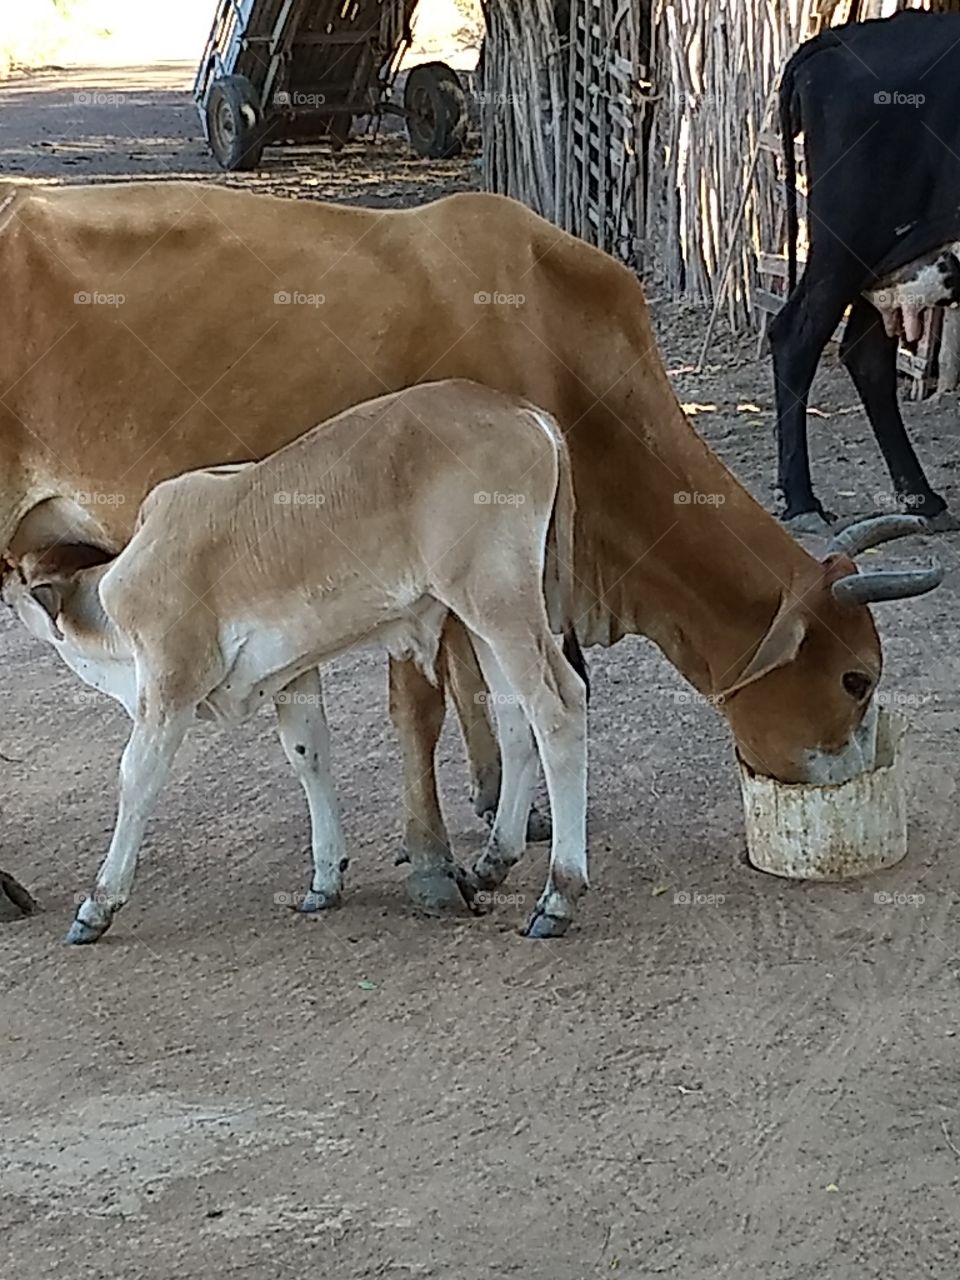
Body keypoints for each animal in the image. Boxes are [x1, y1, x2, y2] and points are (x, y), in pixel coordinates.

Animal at [1, 380, 590, 944]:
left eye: (14, 577)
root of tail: (524, 413)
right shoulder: (293, 676)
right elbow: (309, 754)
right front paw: (325, 878)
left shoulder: (170, 684)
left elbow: (136, 777)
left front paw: (98, 905)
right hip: (488, 612)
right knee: (516, 719)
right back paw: (494, 860)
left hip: (496, 601)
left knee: (559, 708)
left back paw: (558, 895)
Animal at [771, 10, 960, 535]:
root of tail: (844, 36)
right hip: (848, 242)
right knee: (795, 337)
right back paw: (803, 502)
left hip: (884, 260)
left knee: (865, 352)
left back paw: (921, 497)